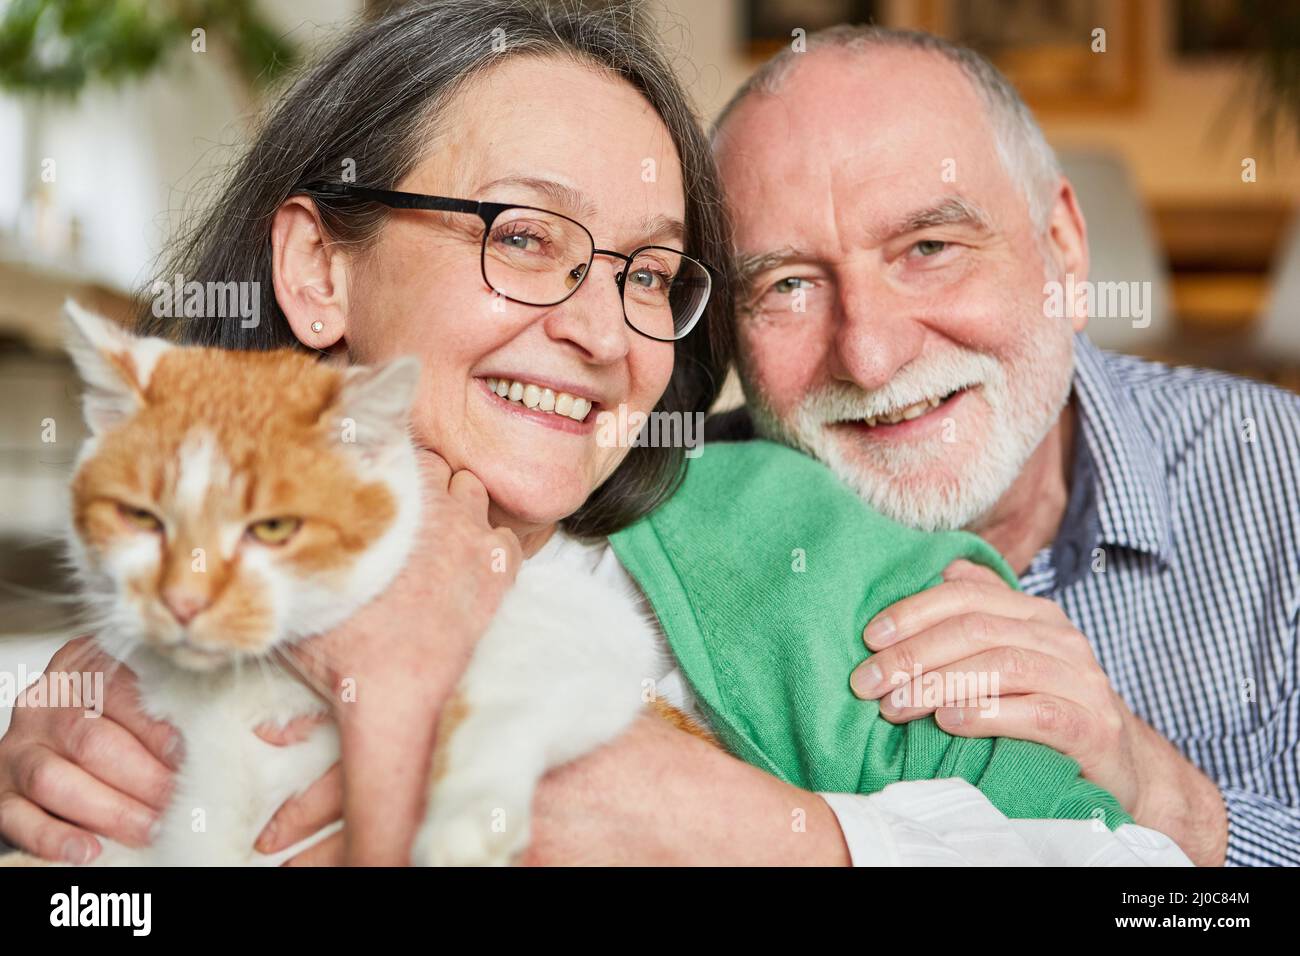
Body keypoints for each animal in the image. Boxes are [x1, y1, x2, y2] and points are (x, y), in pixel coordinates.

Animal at [22, 304, 660, 868]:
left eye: (273, 529)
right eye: (141, 518)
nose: (183, 601)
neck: (249, 680)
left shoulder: (585, 618)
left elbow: (503, 696)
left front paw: (465, 821)